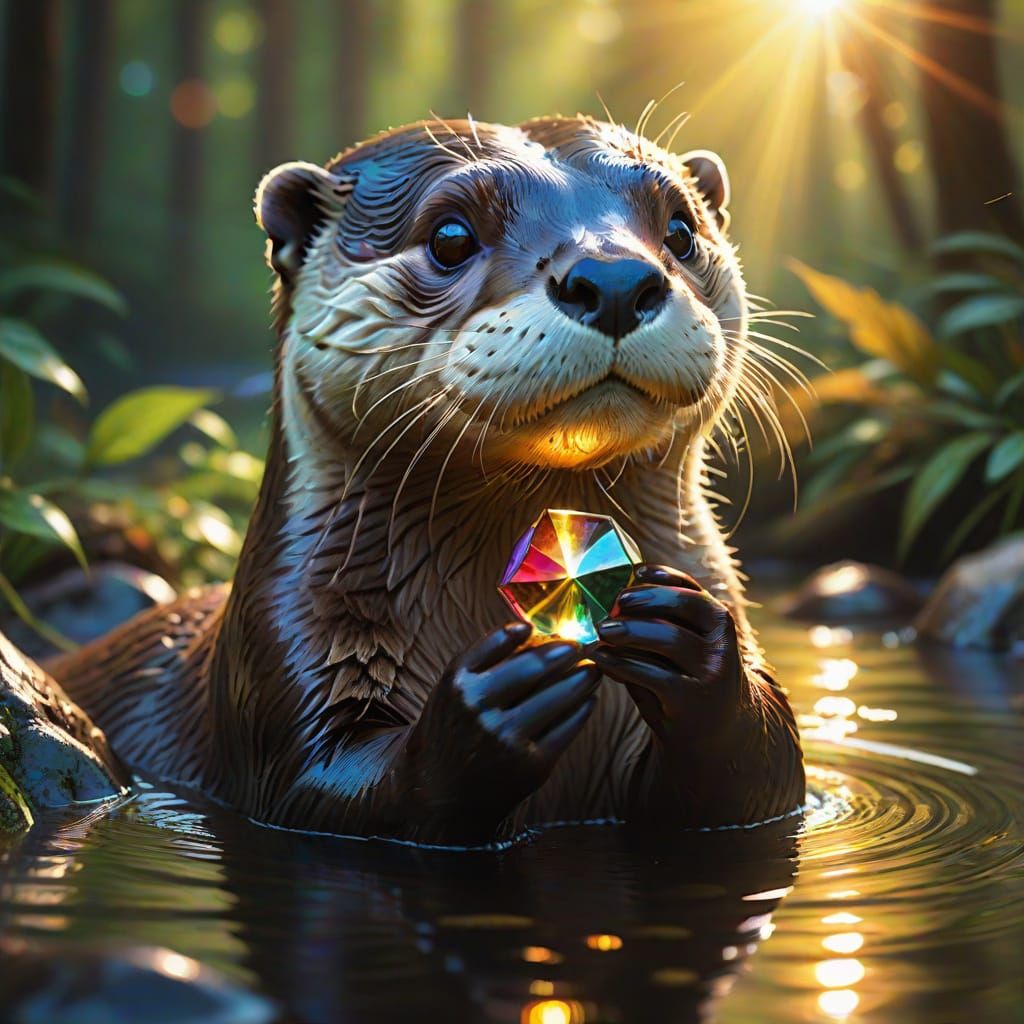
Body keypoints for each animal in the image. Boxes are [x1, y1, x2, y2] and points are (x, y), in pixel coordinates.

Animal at [43, 115, 803, 844]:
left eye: (680, 228)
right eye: (450, 236)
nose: (614, 280)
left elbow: (760, 776)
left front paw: (691, 642)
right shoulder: (279, 658)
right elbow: (331, 791)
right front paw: (491, 700)